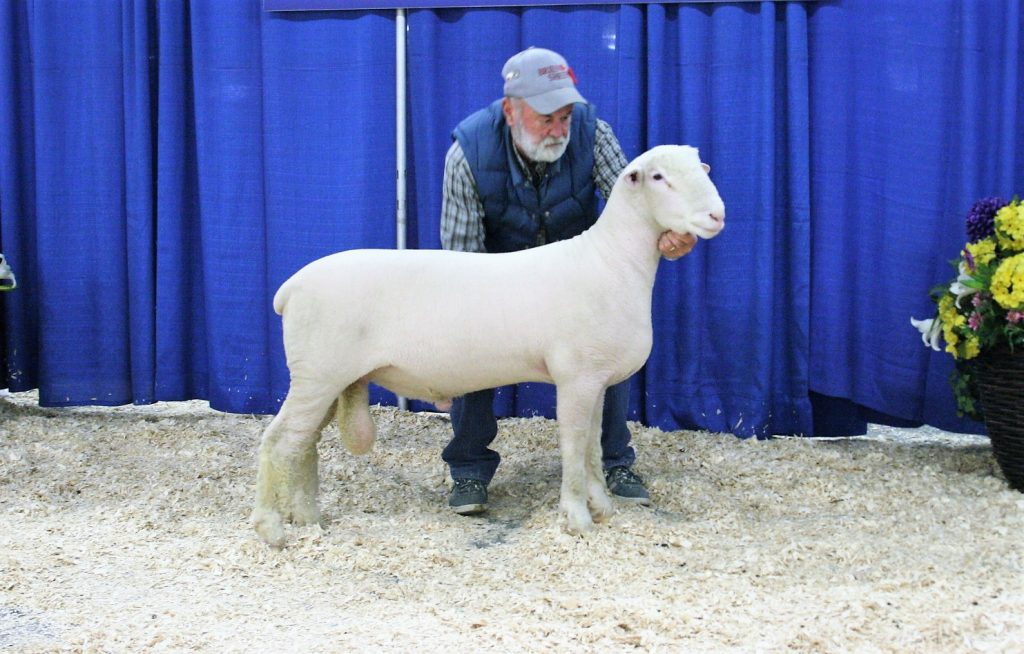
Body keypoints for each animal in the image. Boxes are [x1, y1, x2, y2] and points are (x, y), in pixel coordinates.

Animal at [250, 145, 724, 548]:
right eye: (659, 177)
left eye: (702, 168)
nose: (716, 215)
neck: (611, 262)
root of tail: (289, 289)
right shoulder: (576, 377)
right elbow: (574, 447)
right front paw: (577, 520)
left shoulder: (596, 380)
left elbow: (591, 447)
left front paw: (602, 508)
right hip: (317, 374)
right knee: (278, 443)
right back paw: (271, 529)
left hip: (328, 380)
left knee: (303, 445)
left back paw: (309, 519)